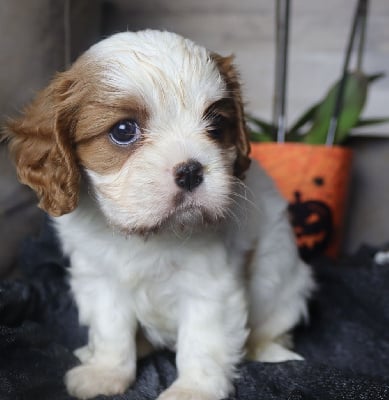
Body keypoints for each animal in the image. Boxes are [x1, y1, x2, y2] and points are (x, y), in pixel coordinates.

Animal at [3, 31, 312, 400]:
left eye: (216, 125)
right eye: (124, 130)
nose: (191, 170)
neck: (150, 233)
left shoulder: (210, 287)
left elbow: (201, 342)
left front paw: (194, 389)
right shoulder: (101, 280)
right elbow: (111, 330)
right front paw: (106, 372)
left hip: (287, 290)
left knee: (274, 330)